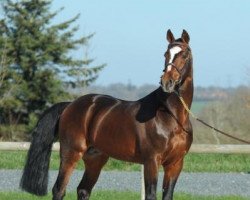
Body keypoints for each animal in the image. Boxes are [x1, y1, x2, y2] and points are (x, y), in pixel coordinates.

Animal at [20, 28, 194, 200]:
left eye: (184, 55)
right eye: (166, 54)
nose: (167, 82)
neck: (170, 116)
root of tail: (70, 105)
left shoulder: (175, 164)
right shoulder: (152, 161)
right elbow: (151, 194)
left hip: (95, 158)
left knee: (83, 190)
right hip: (71, 153)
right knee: (59, 190)